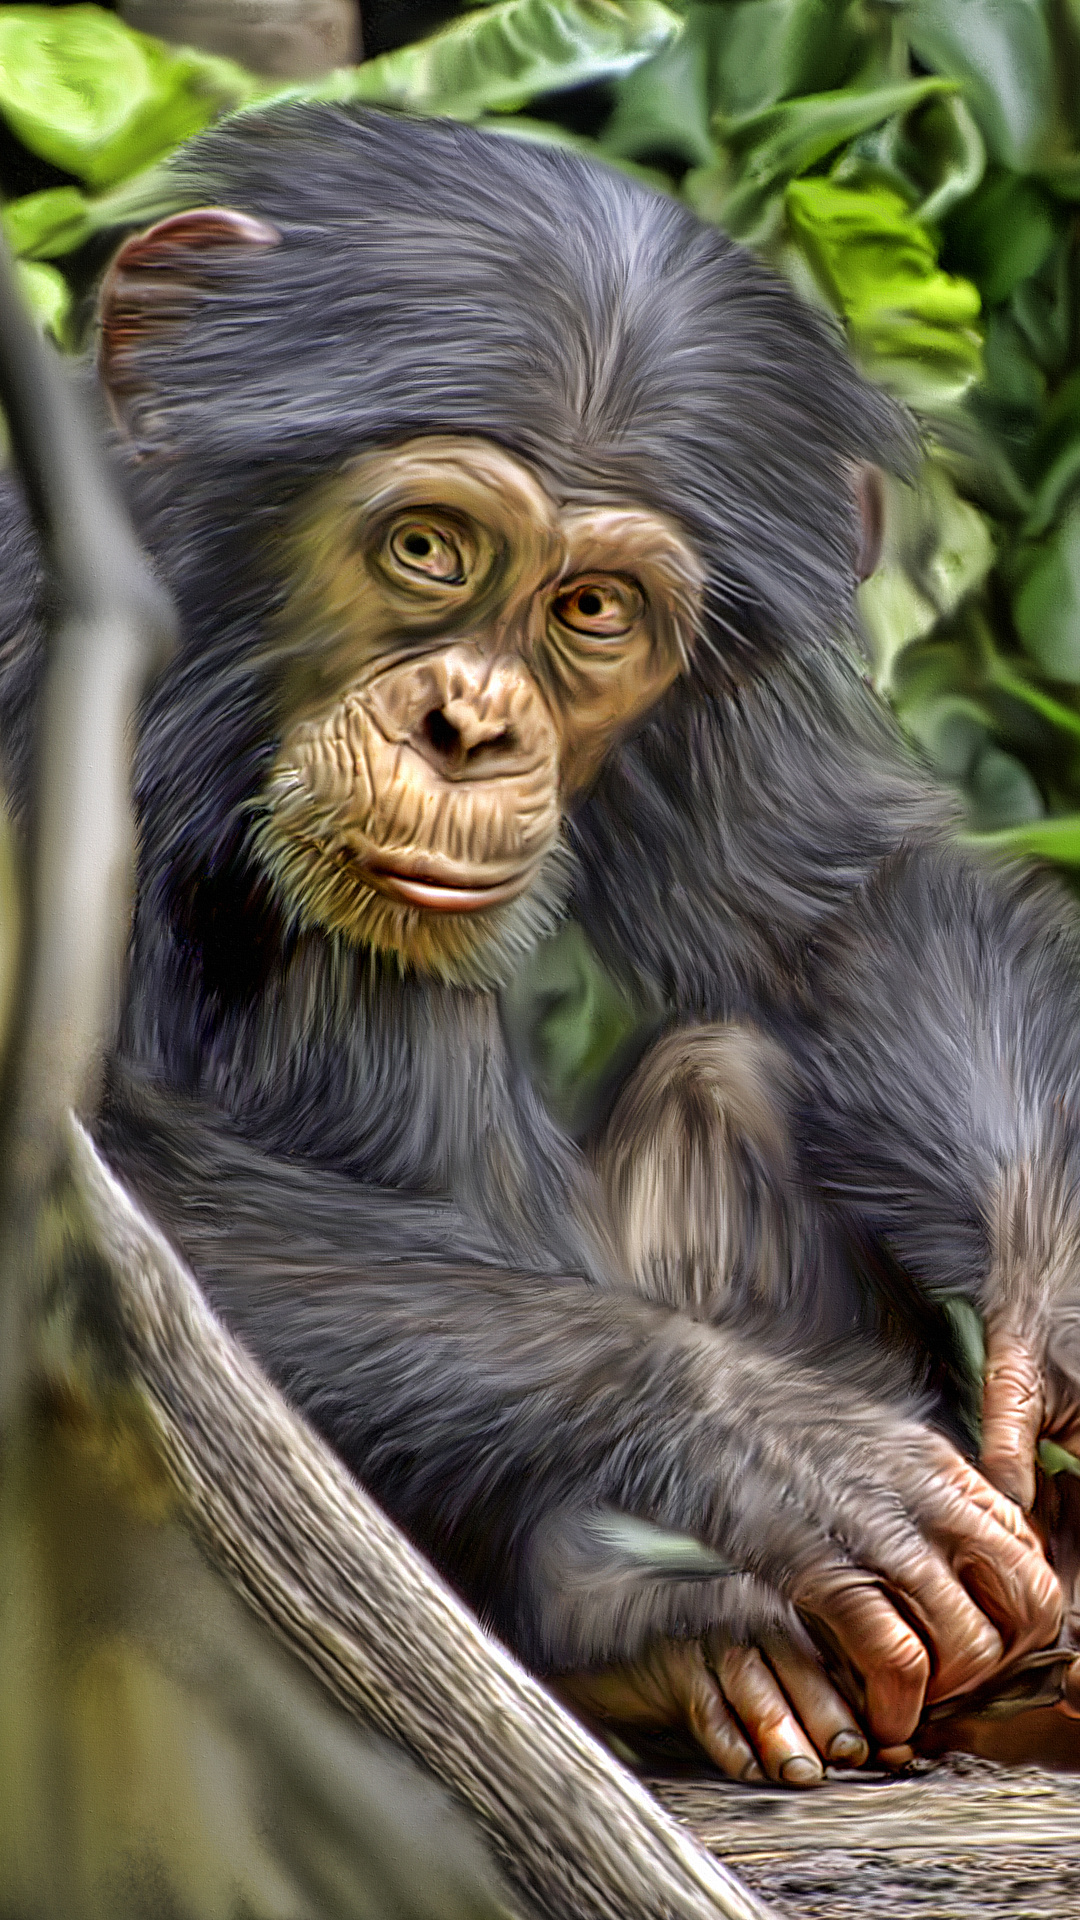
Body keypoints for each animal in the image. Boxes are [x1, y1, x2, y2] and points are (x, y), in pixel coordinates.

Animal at [0, 102, 1073, 1790]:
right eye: (429, 546)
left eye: (593, 610)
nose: (471, 724)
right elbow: (81, 1178)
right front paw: (773, 1444)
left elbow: (825, 907)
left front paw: (1049, 1299)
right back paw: (632, 1625)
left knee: (722, 1065)